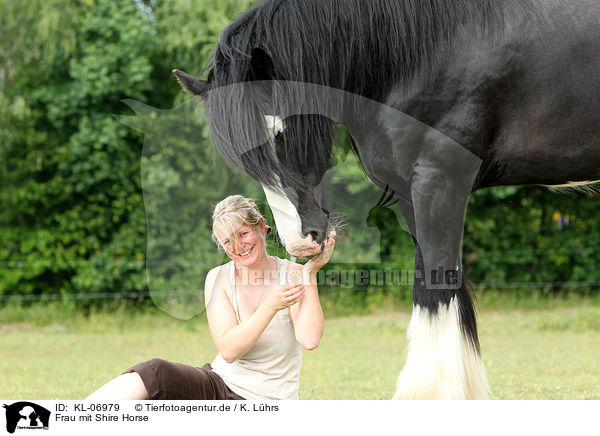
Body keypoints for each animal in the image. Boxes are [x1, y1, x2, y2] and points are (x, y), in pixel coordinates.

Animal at [173, 0, 600, 398]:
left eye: (279, 133)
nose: (301, 241)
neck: (425, 48)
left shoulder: (440, 181)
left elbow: (435, 289)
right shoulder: (414, 196)